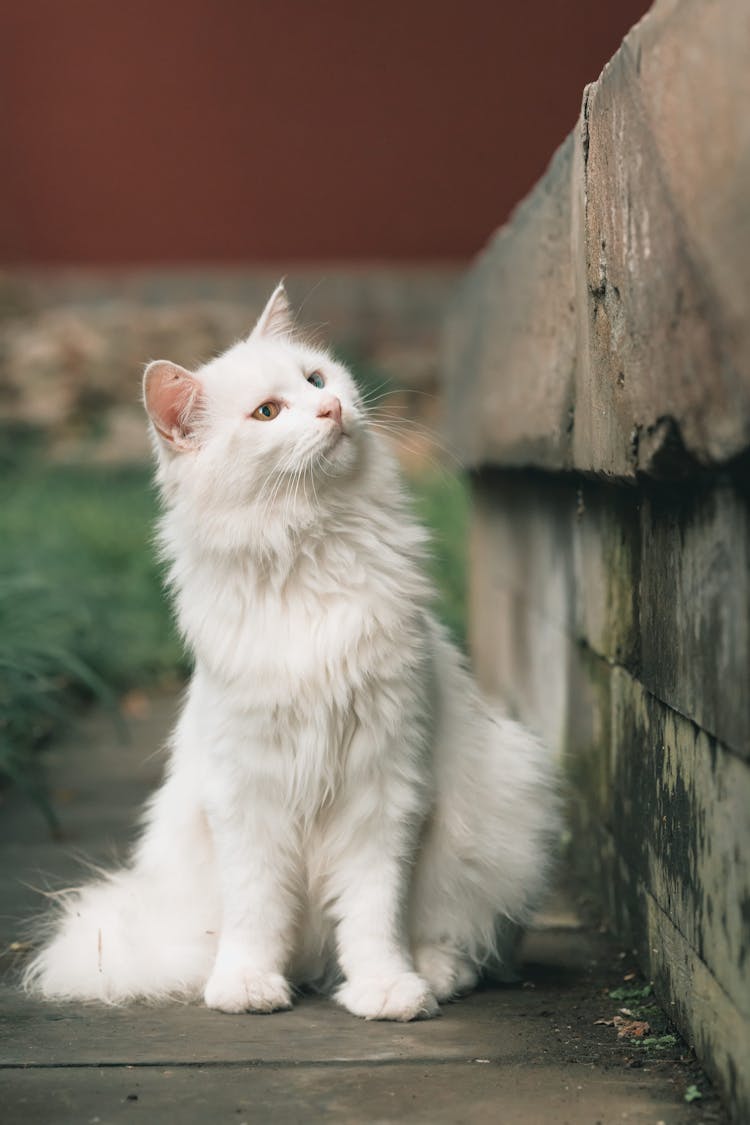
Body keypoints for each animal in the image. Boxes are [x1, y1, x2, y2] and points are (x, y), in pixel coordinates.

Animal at [23, 283, 559, 1021]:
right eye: (267, 413)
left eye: (317, 380)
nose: (331, 409)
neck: (310, 549)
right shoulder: (247, 793)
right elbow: (257, 912)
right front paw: (248, 986)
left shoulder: (385, 785)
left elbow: (375, 913)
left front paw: (386, 990)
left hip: (504, 801)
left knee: (460, 937)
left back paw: (433, 974)